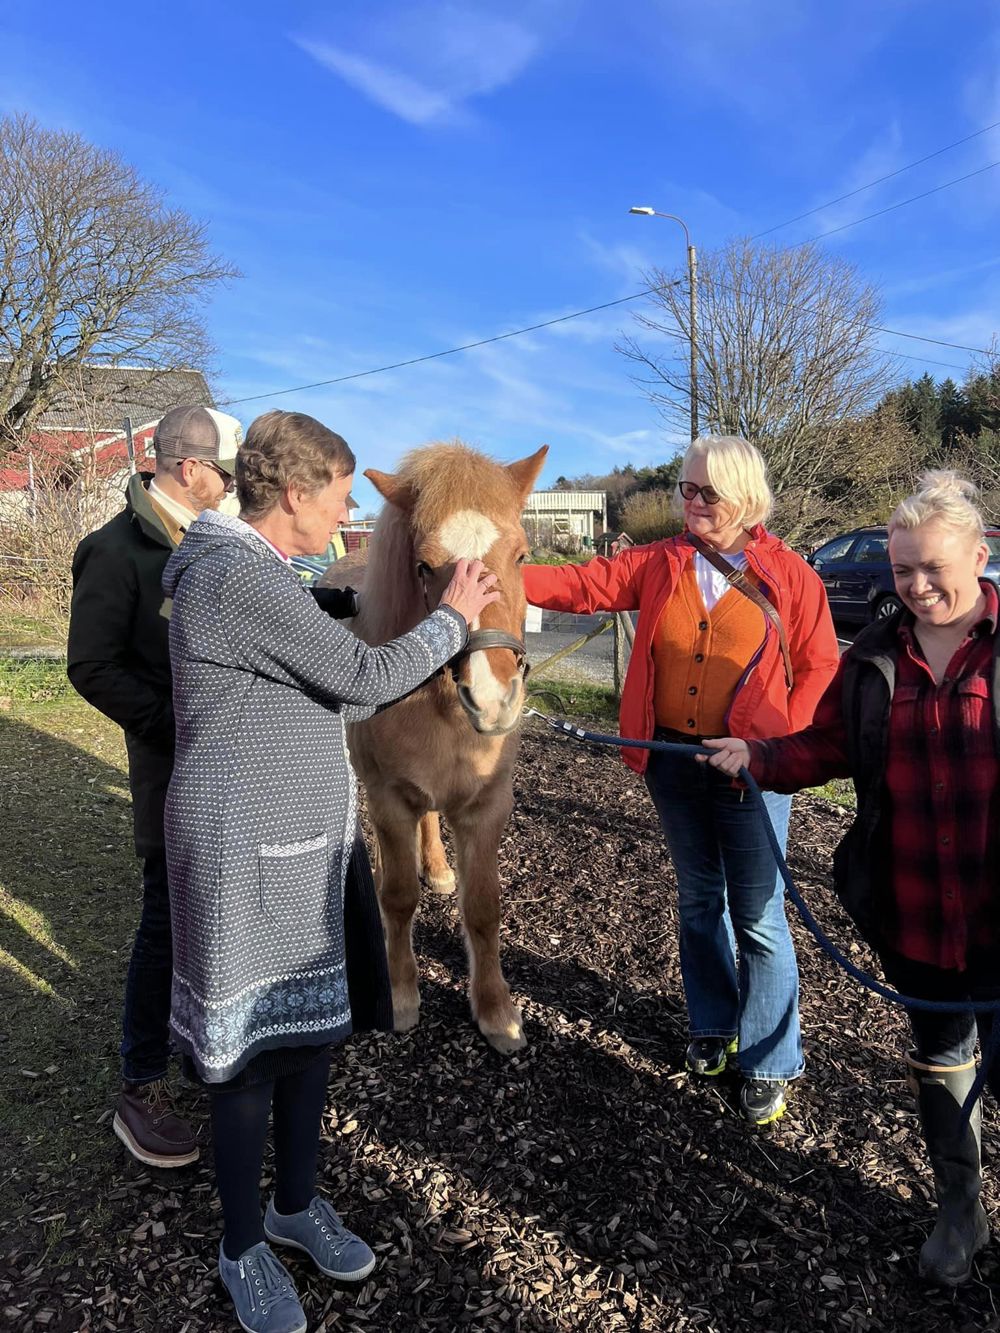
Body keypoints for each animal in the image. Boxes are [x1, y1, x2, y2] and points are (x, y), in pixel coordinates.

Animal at [318, 442, 549, 1055]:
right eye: (423, 566)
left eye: (521, 555)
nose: (492, 697)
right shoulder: (389, 799)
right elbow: (397, 898)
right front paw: (400, 995)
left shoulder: (487, 806)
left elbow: (484, 907)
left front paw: (496, 1012)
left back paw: (441, 869)